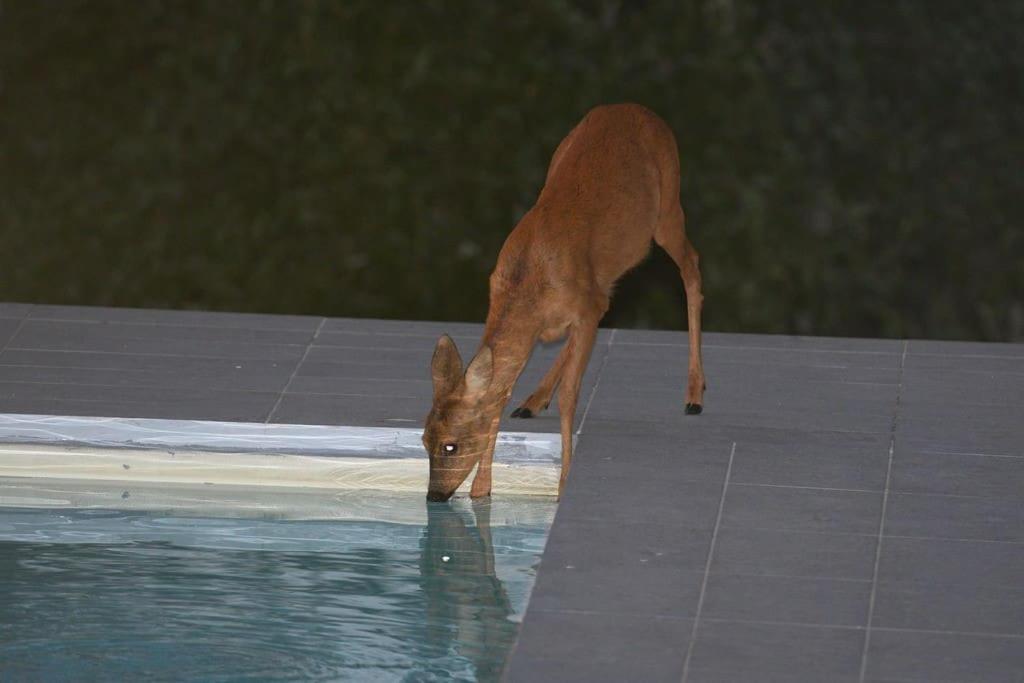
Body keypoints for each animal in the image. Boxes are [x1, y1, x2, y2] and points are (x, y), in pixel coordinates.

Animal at [421, 105, 704, 501]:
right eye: (423, 440)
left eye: (451, 446)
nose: (434, 495)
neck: (528, 284)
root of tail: (639, 108)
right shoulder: (583, 308)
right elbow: (501, 394)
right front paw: (482, 489)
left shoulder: (587, 307)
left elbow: (570, 395)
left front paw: (564, 483)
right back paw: (534, 399)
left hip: (668, 204)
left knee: (691, 267)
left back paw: (695, 392)